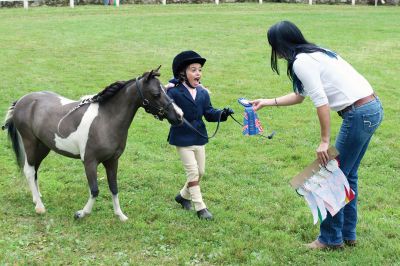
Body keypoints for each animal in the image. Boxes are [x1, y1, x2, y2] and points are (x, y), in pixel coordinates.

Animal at [2, 67, 184, 221]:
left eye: (166, 90)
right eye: (155, 94)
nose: (179, 116)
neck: (106, 120)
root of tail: (22, 101)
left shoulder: (112, 161)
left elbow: (114, 187)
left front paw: (120, 215)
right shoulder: (90, 162)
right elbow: (95, 190)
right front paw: (81, 213)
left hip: (43, 146)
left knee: (34, 170)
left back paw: (36, 198)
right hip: (31, 143)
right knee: (29, 170)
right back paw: (40, 208)